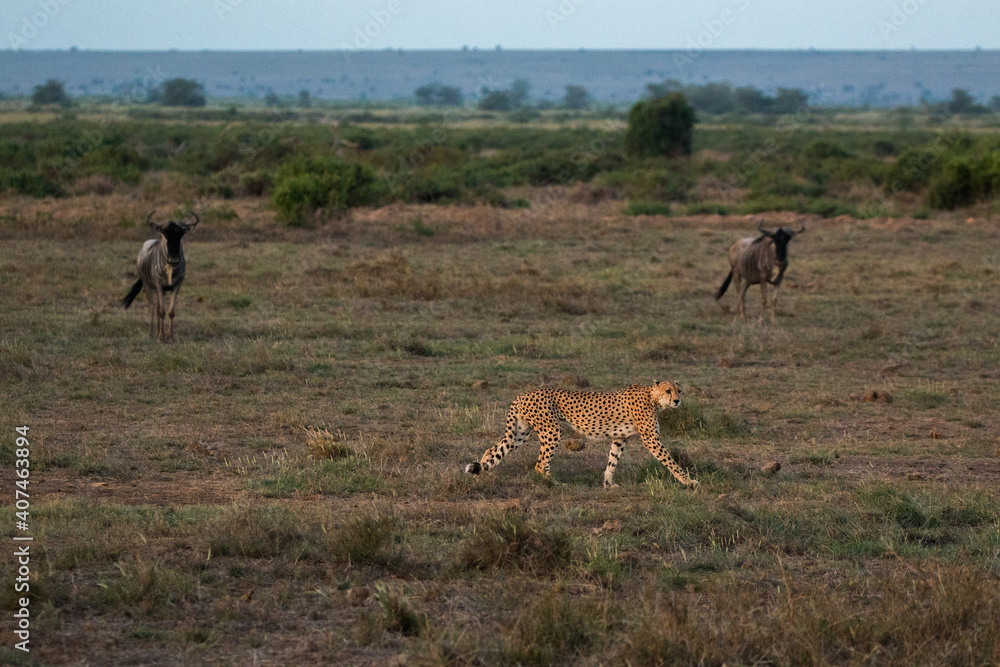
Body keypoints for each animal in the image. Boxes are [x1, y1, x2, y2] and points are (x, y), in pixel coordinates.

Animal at [464, 381, 698, 489]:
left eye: (679, 390)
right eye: (668, 391)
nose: (677, 400)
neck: (653, 398)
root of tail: (524, 393)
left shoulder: (620, 438)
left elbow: (612, 460)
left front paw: (608, 484)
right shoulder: (651, 440)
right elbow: (671, 462)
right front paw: (689, 482)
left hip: (520, 433)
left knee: (492, 450)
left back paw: (481, 473)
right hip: (551, 430)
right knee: (540, 464)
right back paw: (556, 484)